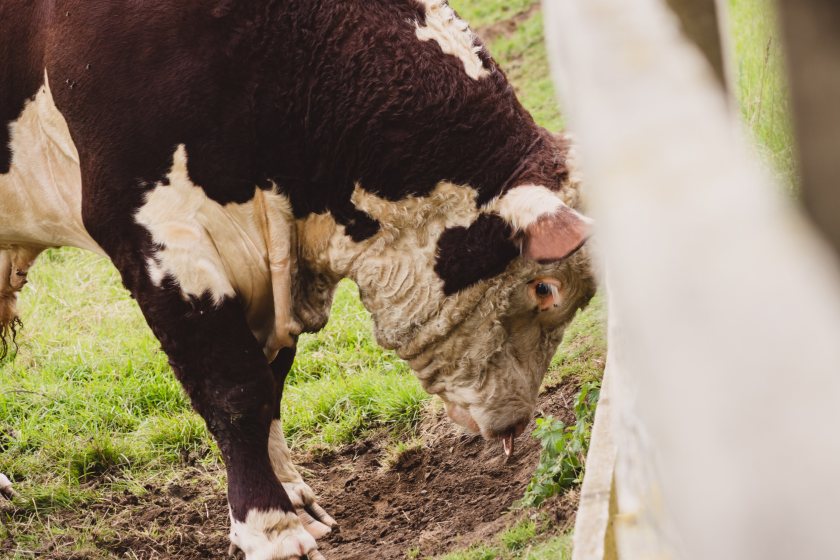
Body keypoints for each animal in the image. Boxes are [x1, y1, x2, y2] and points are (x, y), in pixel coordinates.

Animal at [0, 2, 592, 556]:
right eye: (545, 289)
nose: (517, 425)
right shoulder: (157, 232)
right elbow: (234, 388)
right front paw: (271, 528)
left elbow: (272, 382)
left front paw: (292, 499)